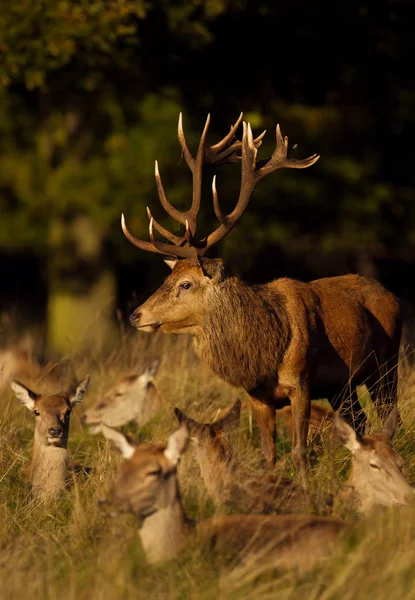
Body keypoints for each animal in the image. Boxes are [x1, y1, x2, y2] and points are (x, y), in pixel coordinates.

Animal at [122, 112, 402, 468]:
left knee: (391, 415)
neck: (263, 354)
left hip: (387, 363)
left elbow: (298, 451)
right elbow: (268, 455)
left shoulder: (301, 382)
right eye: (166, 279)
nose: (136, 315)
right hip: (343, 386)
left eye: (186, 284)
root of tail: (391, 295)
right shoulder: (257, 396)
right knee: (360, 420)